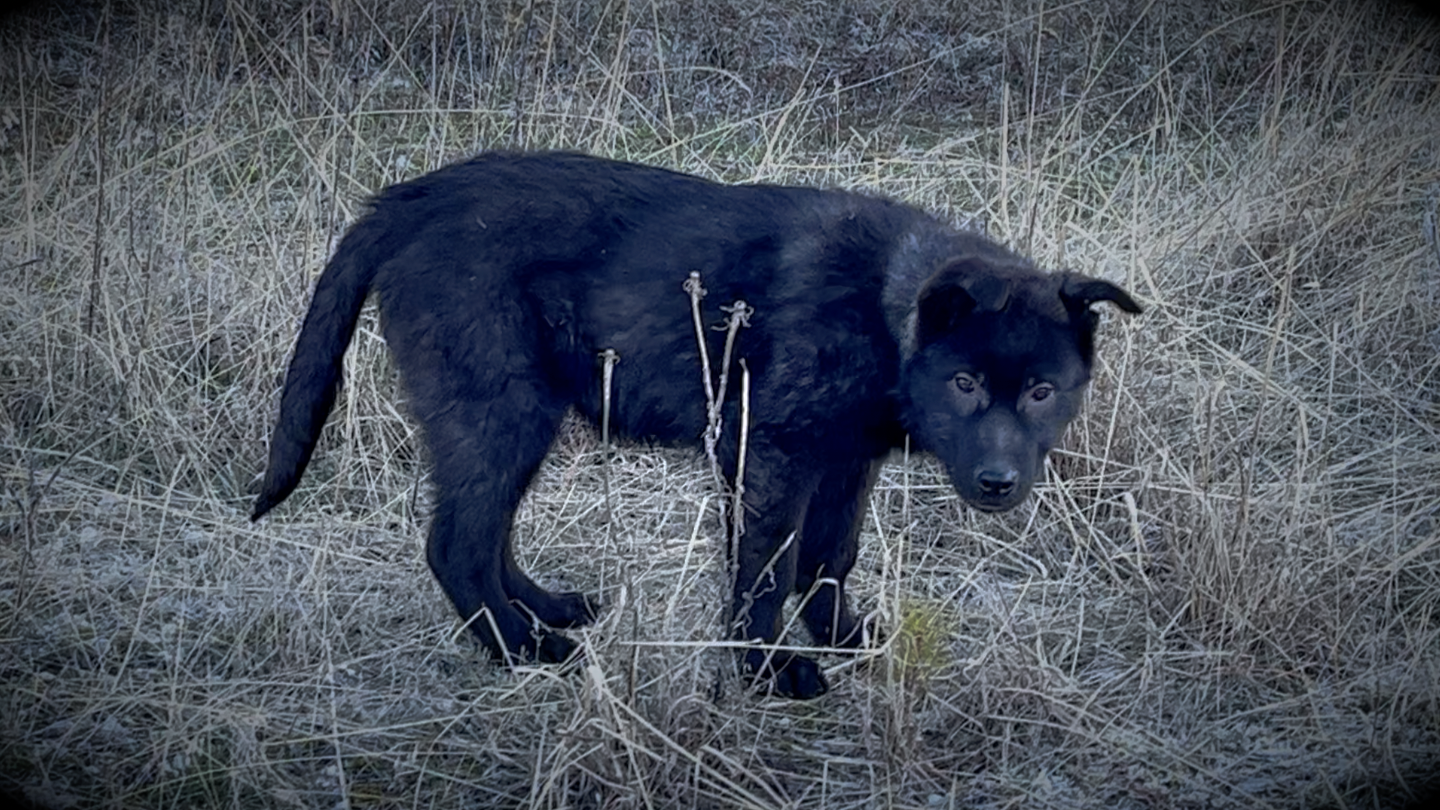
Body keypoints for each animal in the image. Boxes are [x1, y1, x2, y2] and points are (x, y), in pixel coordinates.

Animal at [253, 151, 1140, 694]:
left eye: (1042, 392)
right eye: (963, 383)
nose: (998, 484)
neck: (886, 315)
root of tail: (404, 201)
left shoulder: (844, 461)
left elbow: (830, 558)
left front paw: (843, 637)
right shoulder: (768, 455)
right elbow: (766, 569)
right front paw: (768, 671)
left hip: (513, 418)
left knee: (487, 534)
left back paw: (545, 611)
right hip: (499, 407)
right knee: (456, 544)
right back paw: (527, 651)